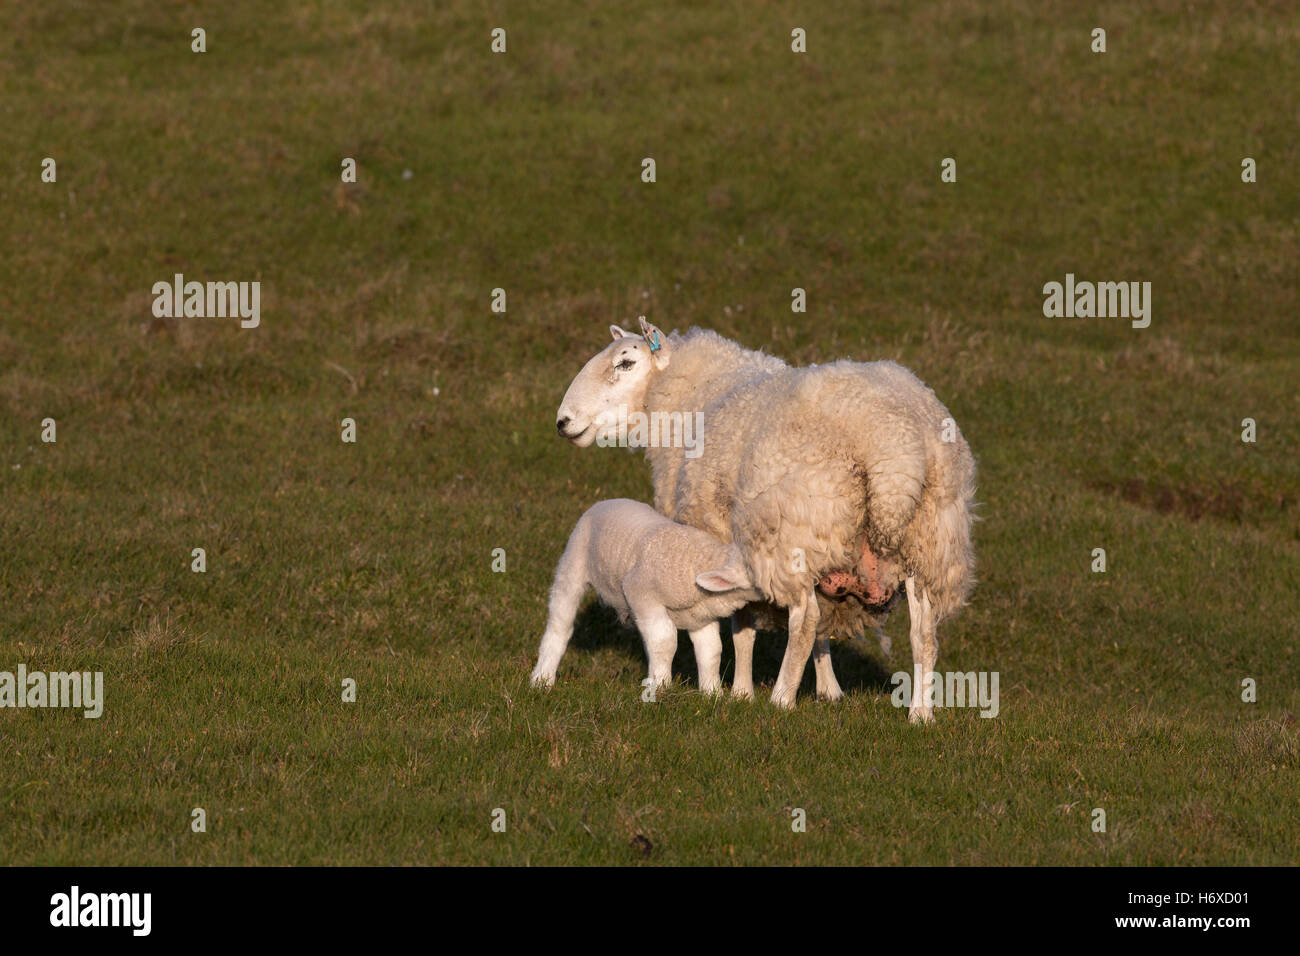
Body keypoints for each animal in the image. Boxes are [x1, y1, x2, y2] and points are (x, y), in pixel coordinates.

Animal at [529, 498, 762, 694]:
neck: (696, 562)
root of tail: (607, 501)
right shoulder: (640, 592)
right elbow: (665, 640)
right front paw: (662, 686)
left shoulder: (700, 618)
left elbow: (711, 651)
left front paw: (711, 693)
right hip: (573, 564)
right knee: (560, 625)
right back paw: (542, 678)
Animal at [554, 319, 976, 719]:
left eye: (625, 363)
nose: (562, 421)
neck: (693, 397)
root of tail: (894, 445)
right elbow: (822, 631)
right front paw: (829, 691)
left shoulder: (726, 538)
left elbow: (741, 623)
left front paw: (741, 692)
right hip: (927, 542)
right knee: (923, 634)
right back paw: (920, 714)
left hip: (791, 533)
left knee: (805, 619)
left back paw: (781, 699)